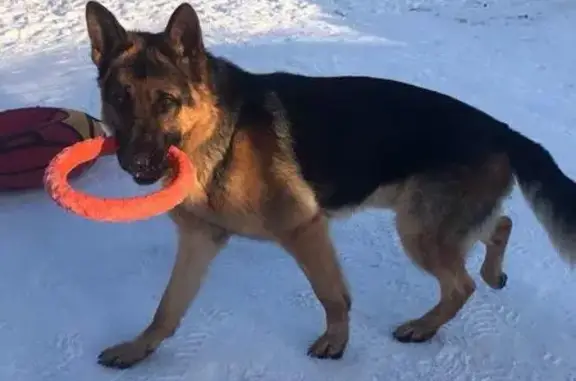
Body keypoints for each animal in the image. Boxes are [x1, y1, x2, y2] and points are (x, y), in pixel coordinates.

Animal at [83, 0, 576, 368]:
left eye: (166, 102)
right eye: (119, 99)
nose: (135, 162)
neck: (220, 133)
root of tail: (501, 130)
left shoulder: (305, 229)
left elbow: (332, 295)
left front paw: (336, 343)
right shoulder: (200, 240)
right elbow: (167, 307)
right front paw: (138, 348)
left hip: (418, 230)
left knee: (462, 284)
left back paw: (423, 325)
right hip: (431, 221)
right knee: (500, 226)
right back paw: (492, 274)